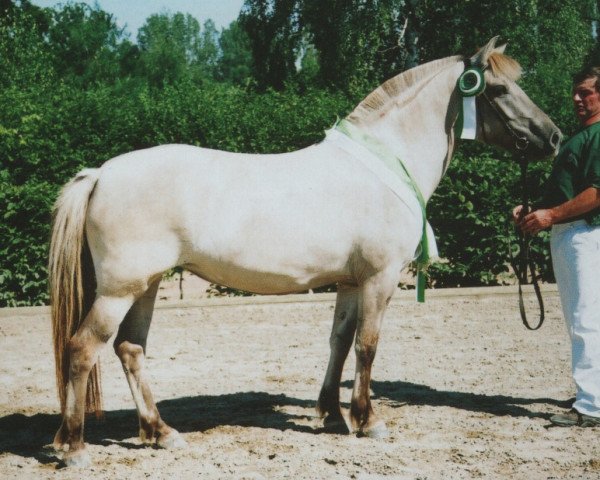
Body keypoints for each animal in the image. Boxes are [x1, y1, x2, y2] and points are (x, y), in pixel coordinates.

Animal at [50, 37, 556, 464]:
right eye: (499, 88)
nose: (551, 136)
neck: (384, 164)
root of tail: (101, 173)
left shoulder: (350, 282)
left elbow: (340, 342)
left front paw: (331, 415)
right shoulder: (380, 278)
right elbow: (368, 345)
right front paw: (368, 420)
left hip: (147, 285)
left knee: (130, 349)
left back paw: (160, 432)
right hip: (120, 290)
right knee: (82, 349)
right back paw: (74, 447)